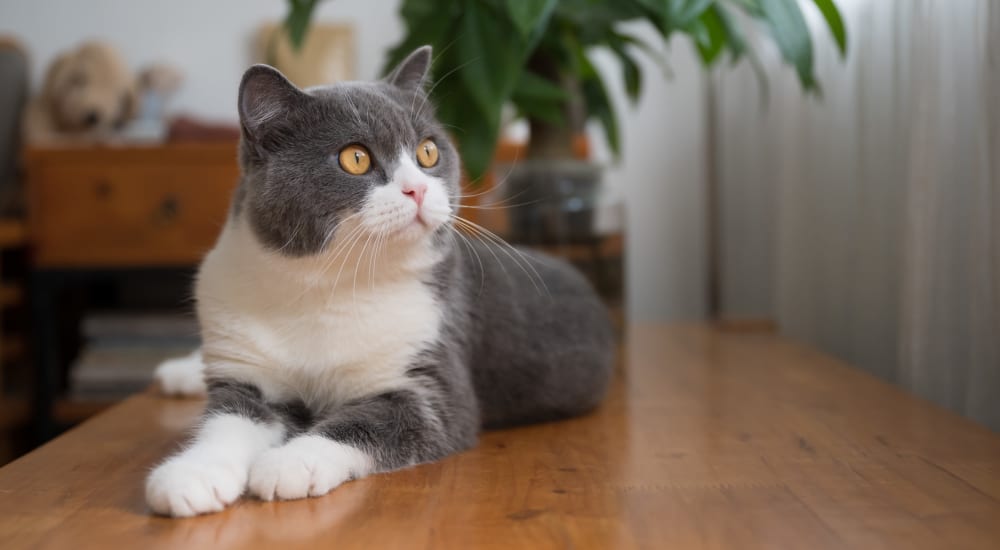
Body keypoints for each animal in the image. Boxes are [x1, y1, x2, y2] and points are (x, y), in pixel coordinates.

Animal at [145, 46, 612, 516]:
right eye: (356, 158)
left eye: (428, 152)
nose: (417, 190)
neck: (324, 286)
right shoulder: (246, 371)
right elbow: (228, 420)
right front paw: (191, 475)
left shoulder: (433, 380)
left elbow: (368, 422)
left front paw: (289, 463)